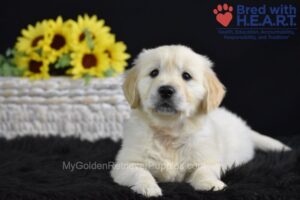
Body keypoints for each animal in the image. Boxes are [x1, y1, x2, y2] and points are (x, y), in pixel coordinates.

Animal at [110, 44, 290, 196]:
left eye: (186, 76)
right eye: (154, 73)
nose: (166, 90)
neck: (169, 130)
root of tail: (244, 127)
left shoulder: (208, 159)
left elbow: (204, 171)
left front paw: (211, 184)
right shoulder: (125, 164)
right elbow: (140, 173)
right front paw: (148, 187)